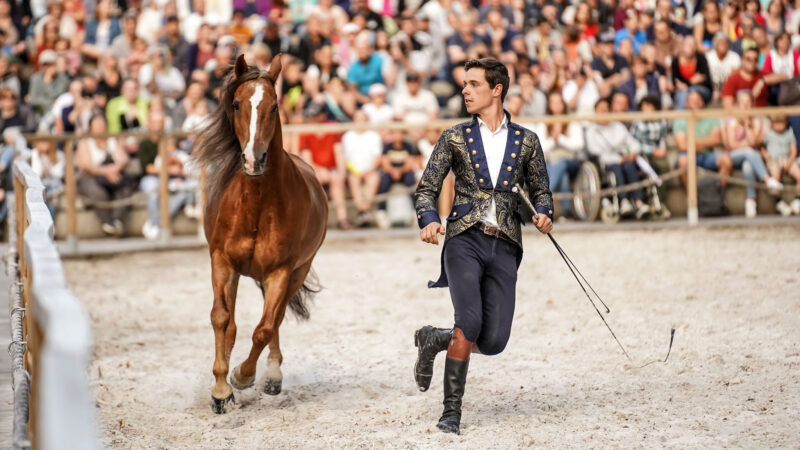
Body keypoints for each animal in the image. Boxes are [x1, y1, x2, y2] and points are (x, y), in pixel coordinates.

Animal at [194, 54, 328, 414]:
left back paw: (271, 376)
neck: (256, 204)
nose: (254, 160)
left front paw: (242, 376)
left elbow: (264, 329)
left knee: (275, 319)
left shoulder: (280, 271)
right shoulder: (222, 261)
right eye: (236, 104)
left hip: (298, 271)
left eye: (273, 105)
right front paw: (221, 390)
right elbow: (221, 319)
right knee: (233, 323)